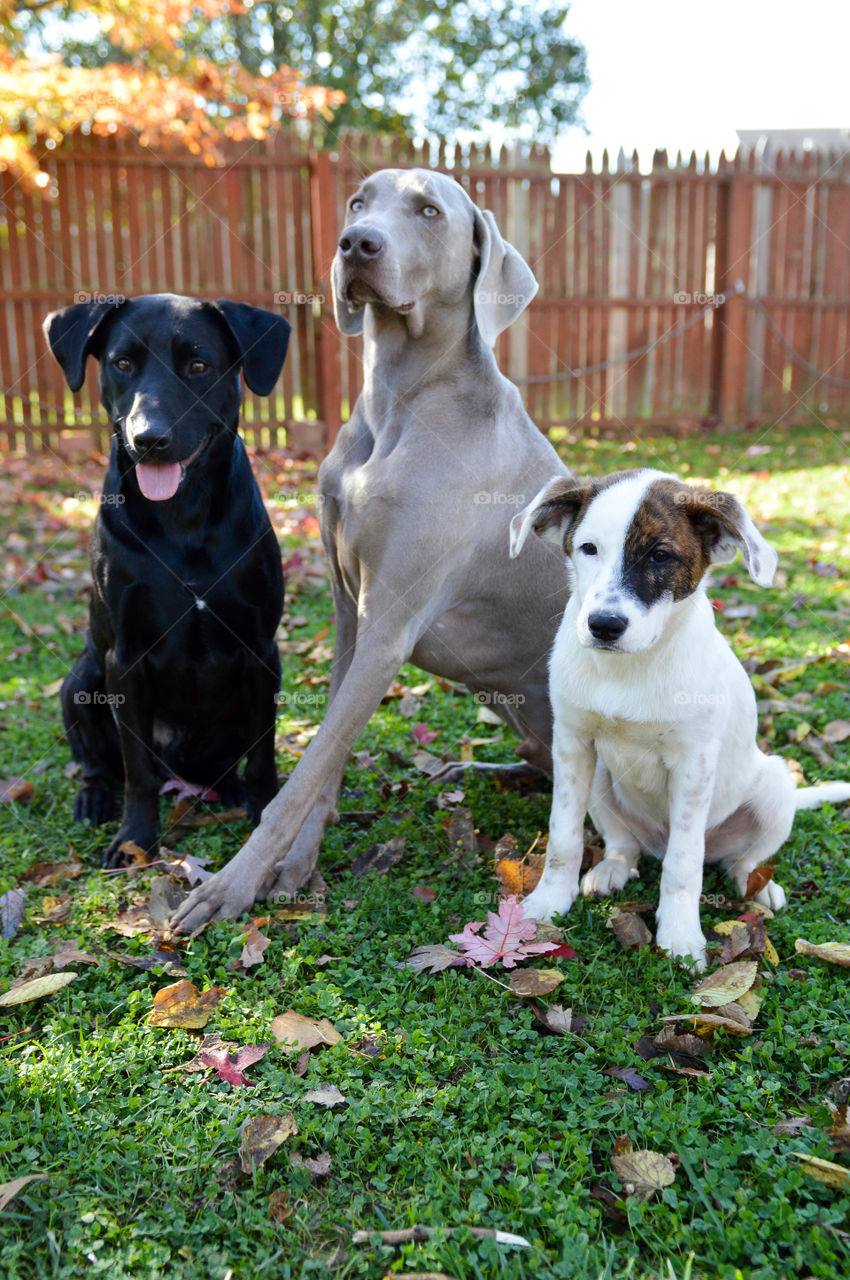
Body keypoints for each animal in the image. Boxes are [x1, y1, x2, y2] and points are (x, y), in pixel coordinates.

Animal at [43, 293, 291, 865]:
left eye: (198, 365)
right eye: (122, 363)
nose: (148, 439)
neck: (182, 517)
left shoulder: (260, 650)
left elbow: (263, 754)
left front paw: (266, 813)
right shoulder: (124, 659)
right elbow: (136, 770)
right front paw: (135, 839)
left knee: (226, 765)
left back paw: (231, 789)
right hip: (79, 682)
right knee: (101, 763)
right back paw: (93, 798)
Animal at [506, 473, 850, 967]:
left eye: (660, 556)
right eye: (588, 548)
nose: (603, 625)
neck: (629, 668)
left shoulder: (694, 764)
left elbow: (684, 863)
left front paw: (681, 935)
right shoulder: (572, 744)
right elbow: (562, 836)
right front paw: (548, 901)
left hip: (774, 786)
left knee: (737, 860)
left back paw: (756, 885)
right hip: (602, 779)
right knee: (624, 843)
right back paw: (612, 868)